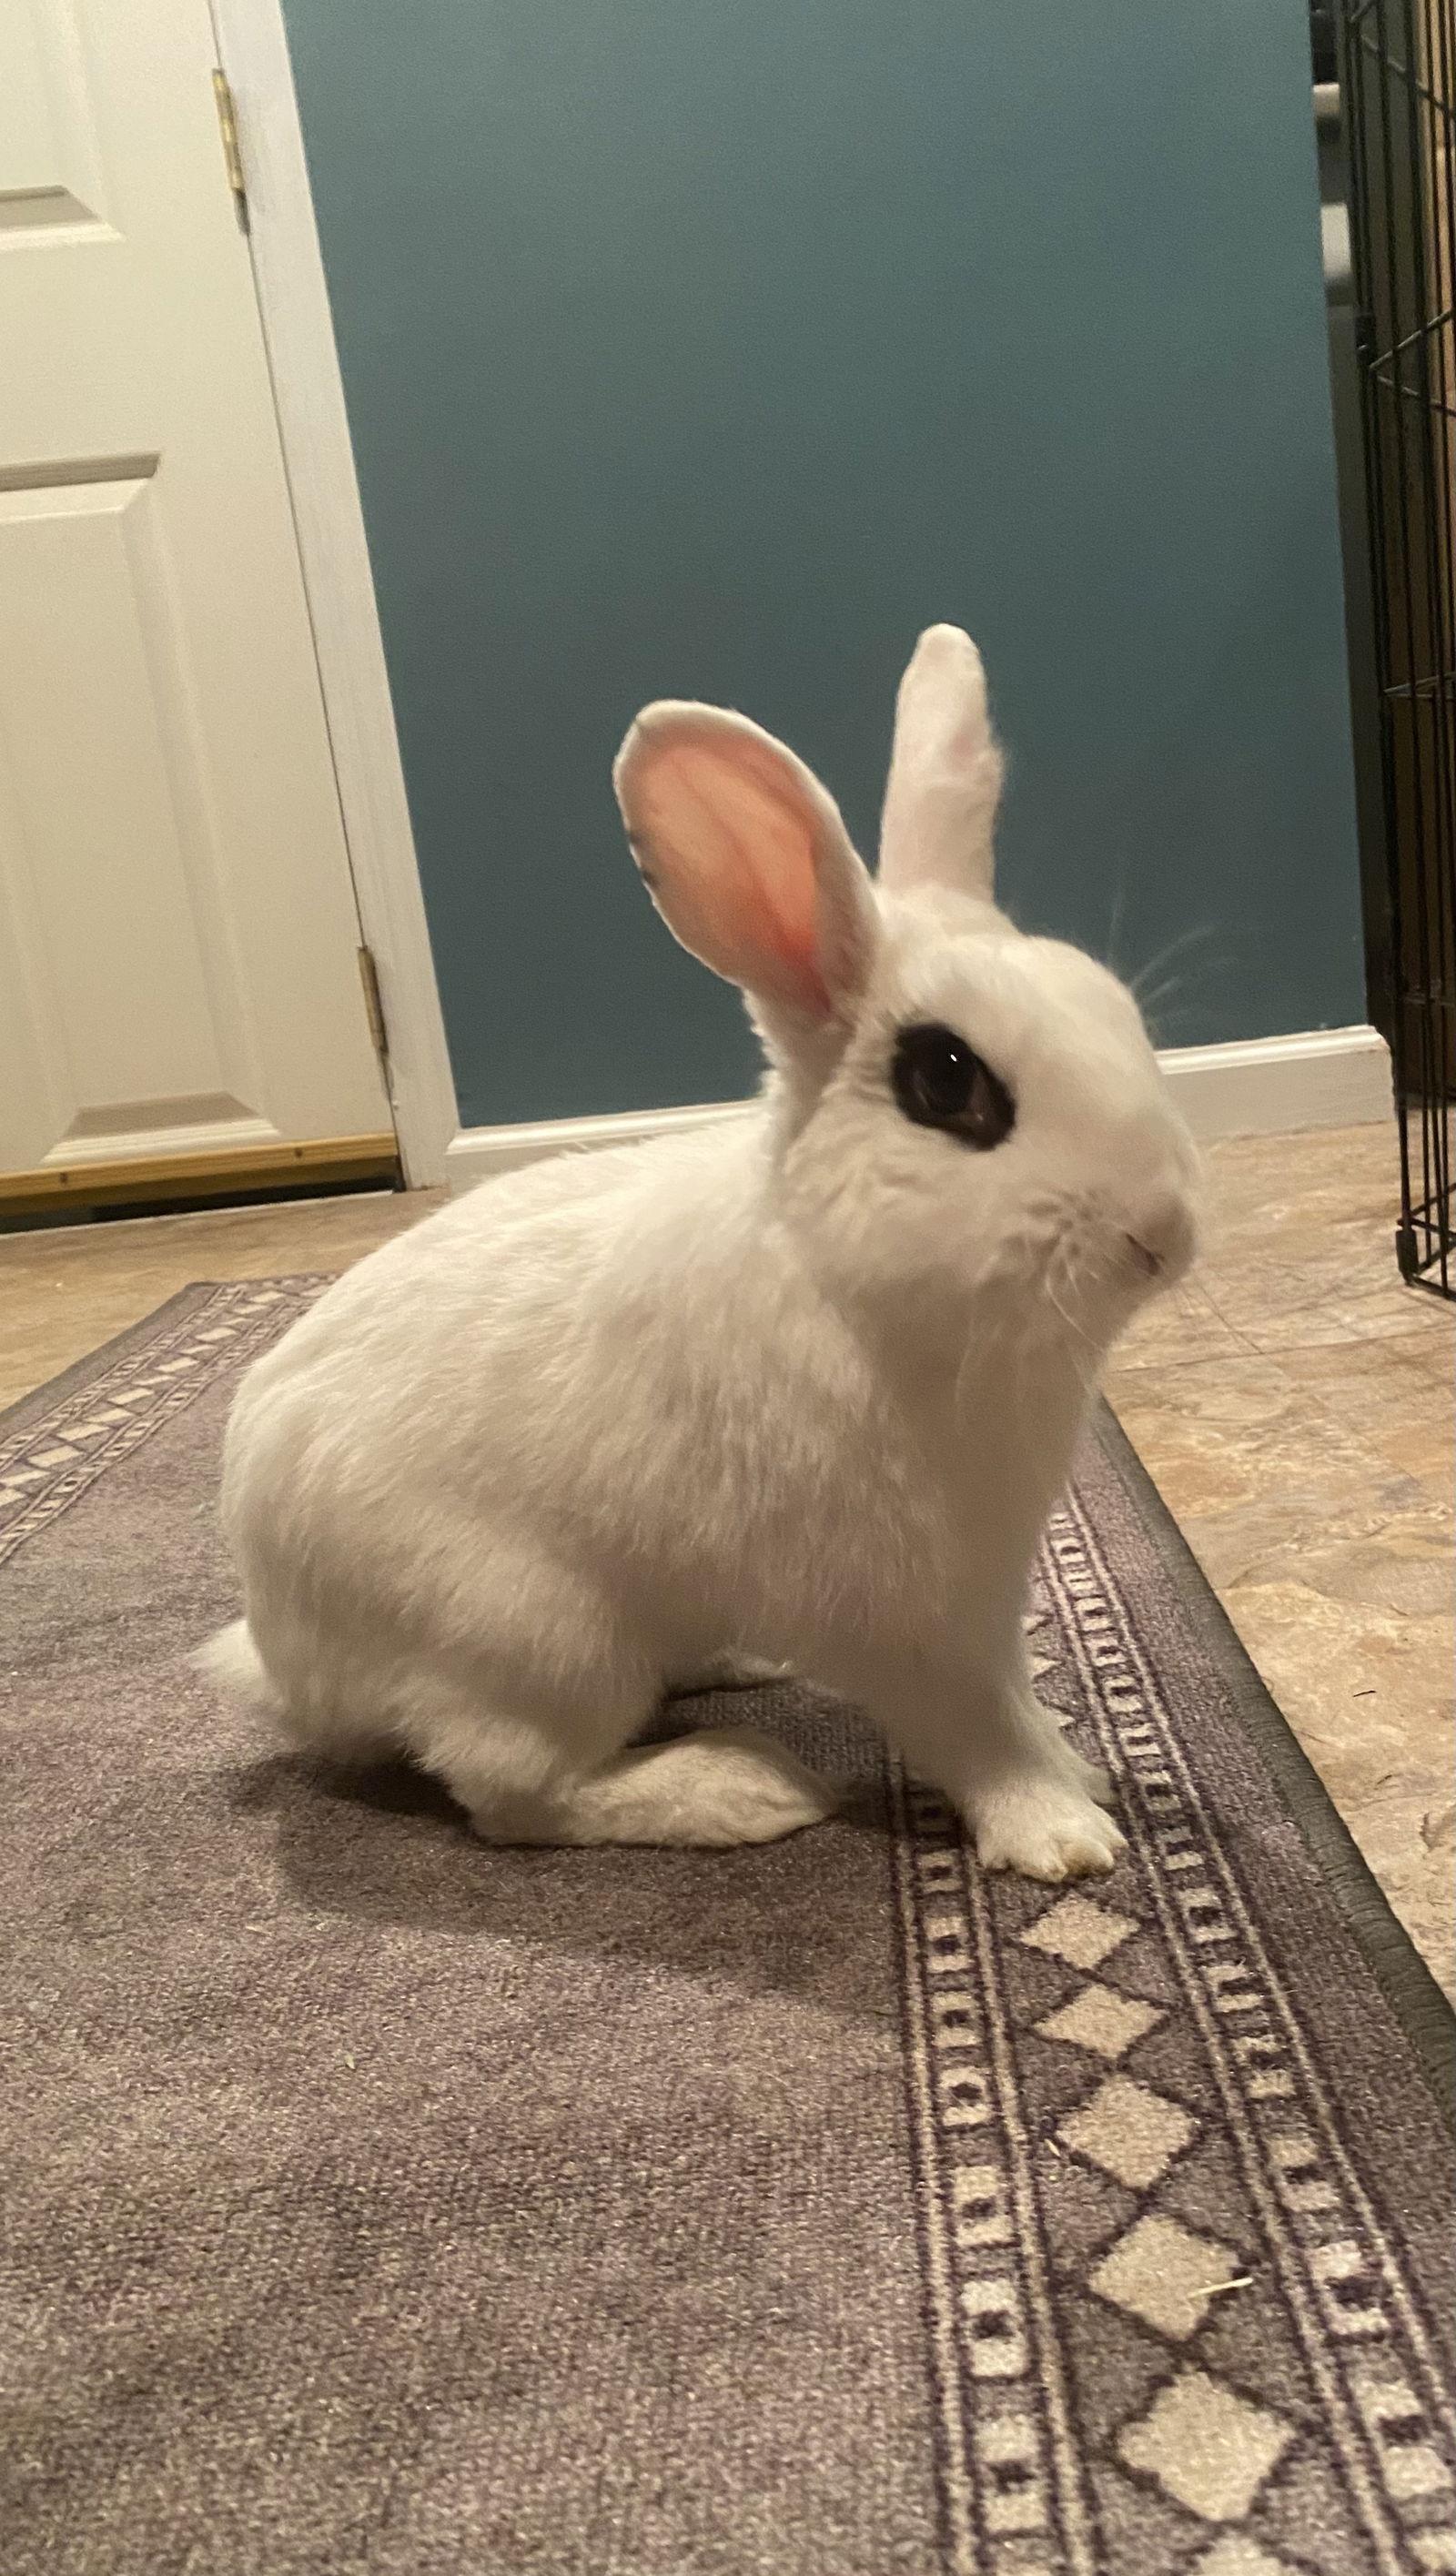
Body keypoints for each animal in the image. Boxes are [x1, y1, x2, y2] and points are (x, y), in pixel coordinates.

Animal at [200, 625, 1199, 1883]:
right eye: (945, 1080)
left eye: (1116, 1009)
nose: (1163, 1230)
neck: (856, 1288)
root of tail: (286, 1657)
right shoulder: (907, 1619)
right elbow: (976, 1730)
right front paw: (1062, 1834)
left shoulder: (981, 1594)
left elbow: (1017, 1698)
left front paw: (1078, 1762)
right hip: (536, 1640)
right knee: (516, 1796)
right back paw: (741, 1786)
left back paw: (739, 1667)